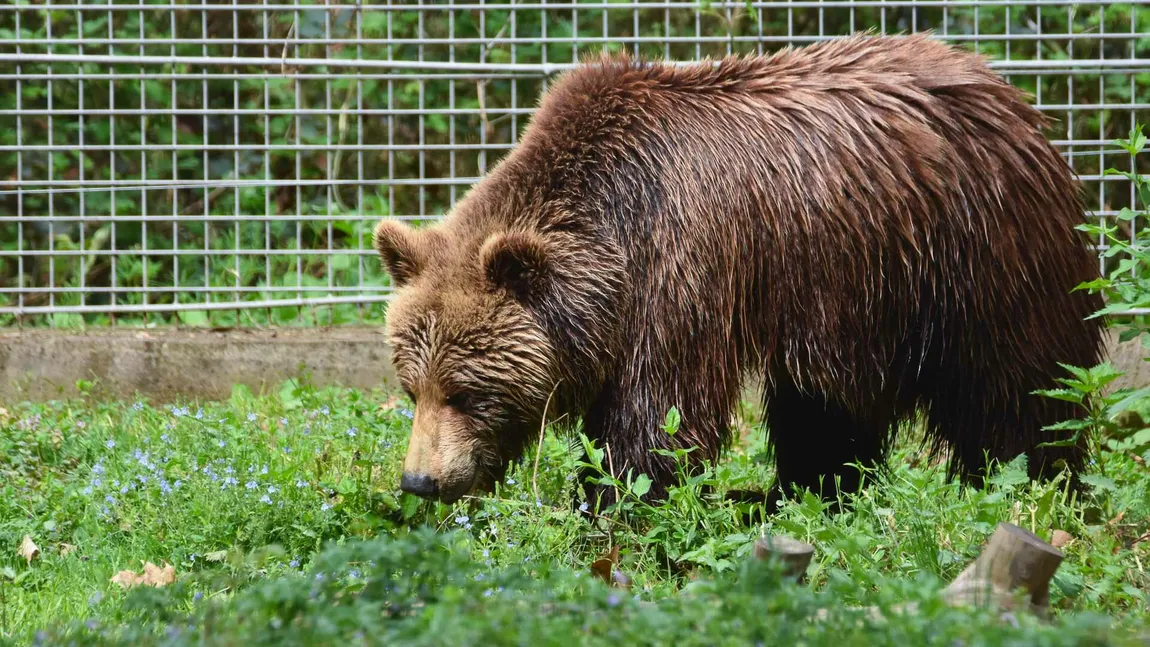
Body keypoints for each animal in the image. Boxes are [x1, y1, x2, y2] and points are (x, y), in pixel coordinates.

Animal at [374, 32, 1104, 512]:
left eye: (467, 392)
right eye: (413, 389)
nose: (420, 481)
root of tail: (1009, 93)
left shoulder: (680, 266)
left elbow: (659, 417)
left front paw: (615, 506)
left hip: (979, 255)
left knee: (1020, 388)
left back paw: (1036, 487)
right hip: (851, 295)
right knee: (825, 409)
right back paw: (807, 493)